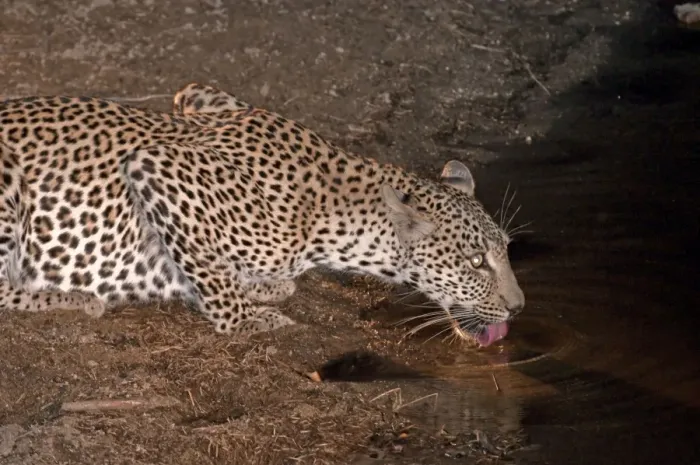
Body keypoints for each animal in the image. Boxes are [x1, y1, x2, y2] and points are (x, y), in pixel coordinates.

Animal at [0, 82, 524, 347]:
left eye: (505, 251)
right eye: (476, 262)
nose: (519, 308)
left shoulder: (200, 97)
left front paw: (262, 287)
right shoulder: (157, 165)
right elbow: (211, 272)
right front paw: (247, 318)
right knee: (5, 289)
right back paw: (70, 296)